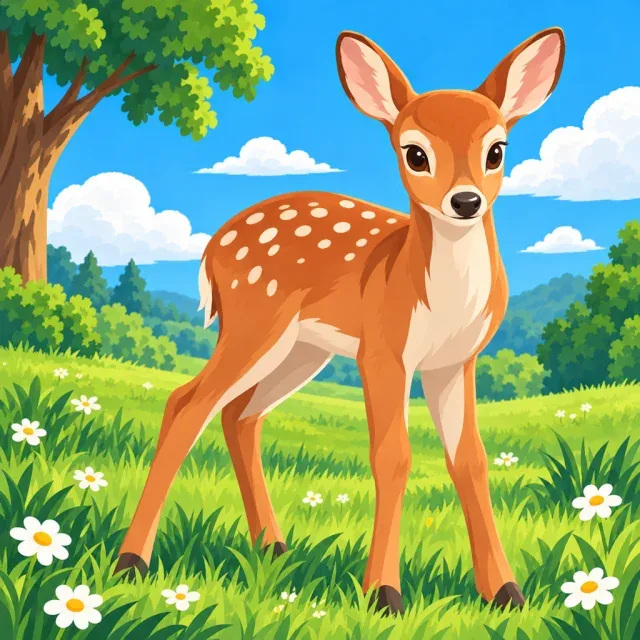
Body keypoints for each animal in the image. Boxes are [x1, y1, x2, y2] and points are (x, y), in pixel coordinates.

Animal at [115, 27, 565, 615]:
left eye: (496, 149)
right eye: (414, 152)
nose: (465, 200)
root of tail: (212, 249)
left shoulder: (456, 361)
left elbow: (470, 461)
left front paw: (506, 593)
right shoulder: (383, 350)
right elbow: (392, 456)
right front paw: (384, 594)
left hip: (303, 349)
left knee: (239, 414)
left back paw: (273, 547)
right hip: (253, 319)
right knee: (187, 403)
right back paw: (131, 562)